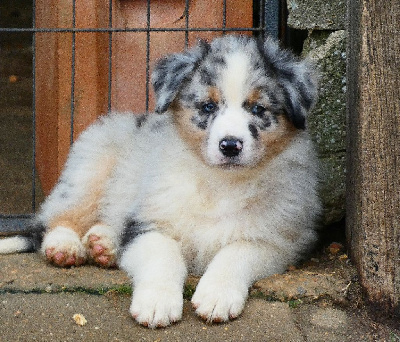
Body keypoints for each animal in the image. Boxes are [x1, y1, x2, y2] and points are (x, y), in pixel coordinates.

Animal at [0, 34, 318, 328]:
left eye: (257, 109)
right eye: (207, 107)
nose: (230, 145)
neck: (219, 183)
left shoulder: (278, 239)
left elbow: (235, 253)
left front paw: (216, 297)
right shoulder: (149, 223)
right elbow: (163, 256)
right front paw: (156, 304)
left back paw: (104, 244)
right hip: (90, 168)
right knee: (53, 219)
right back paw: (65, 246)